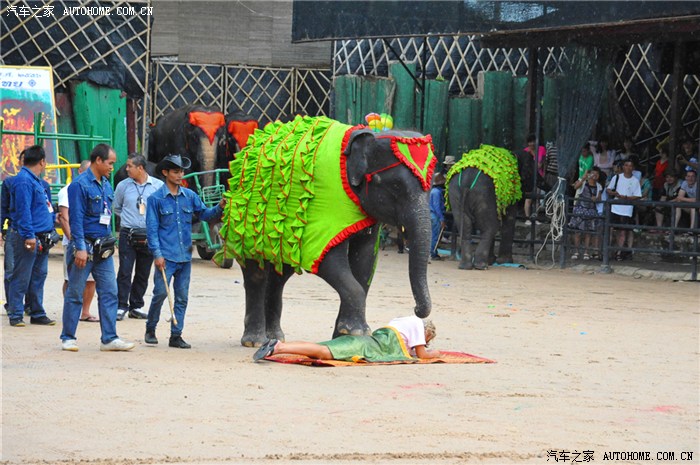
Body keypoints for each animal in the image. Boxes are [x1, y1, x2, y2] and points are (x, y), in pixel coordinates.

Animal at [216, 116, 437, 346]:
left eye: (431, 187)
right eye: (395, 186)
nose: (417, 311)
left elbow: (366, 261)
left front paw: (344, 335)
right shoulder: (319, 210)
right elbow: (327, 259)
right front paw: (357, 332)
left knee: (280, 276)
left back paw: (276, 338)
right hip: (245, 219)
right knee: (255, 273)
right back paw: (256, 341)